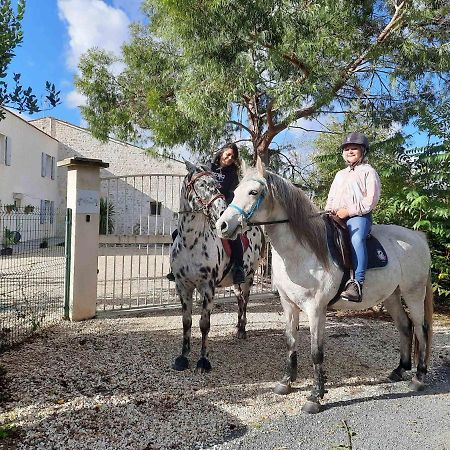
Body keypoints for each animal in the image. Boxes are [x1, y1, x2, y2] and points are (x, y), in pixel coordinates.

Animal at [171, 162, 266, 372]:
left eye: (216, 185)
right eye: (200, 184)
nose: (222, 213)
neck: (191, 243)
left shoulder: (207, 288)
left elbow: (204, 324)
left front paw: (203, 361)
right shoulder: (183, 287)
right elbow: (186, 322)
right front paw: (183, 357)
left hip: (249, 278)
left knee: (245, 302)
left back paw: (242, 330)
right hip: (236, 283)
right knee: (239, 301)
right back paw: (237, 328)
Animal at [216, 159, 434, 414]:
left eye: (253, 192)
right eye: (235, 192)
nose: (222, 225)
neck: (302, 251)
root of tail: (419, 237)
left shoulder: (316, 309)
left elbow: (316, 353)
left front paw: (315, 396)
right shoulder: (288, 305)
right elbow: (290, 341)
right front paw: (286, 383)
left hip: (413, 293)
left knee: (420, 329)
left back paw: (419, 377)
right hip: (391, 295)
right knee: (405, 327)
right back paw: (399, 370)